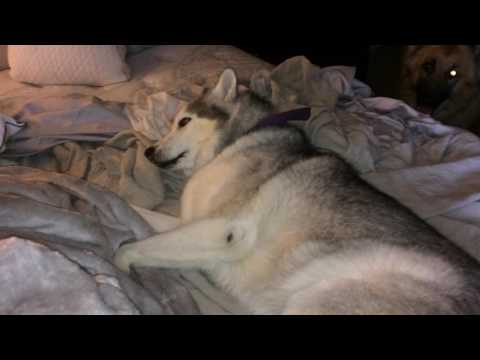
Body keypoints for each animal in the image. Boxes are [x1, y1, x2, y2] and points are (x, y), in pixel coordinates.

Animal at [114, 69, 480, 314]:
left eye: (184, 121)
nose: (148, 152)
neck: (235, 141)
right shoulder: (191, 225)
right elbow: (139, 216)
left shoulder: (224, 230)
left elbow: (132, 249)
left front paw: (121, 266)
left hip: (320, 296)